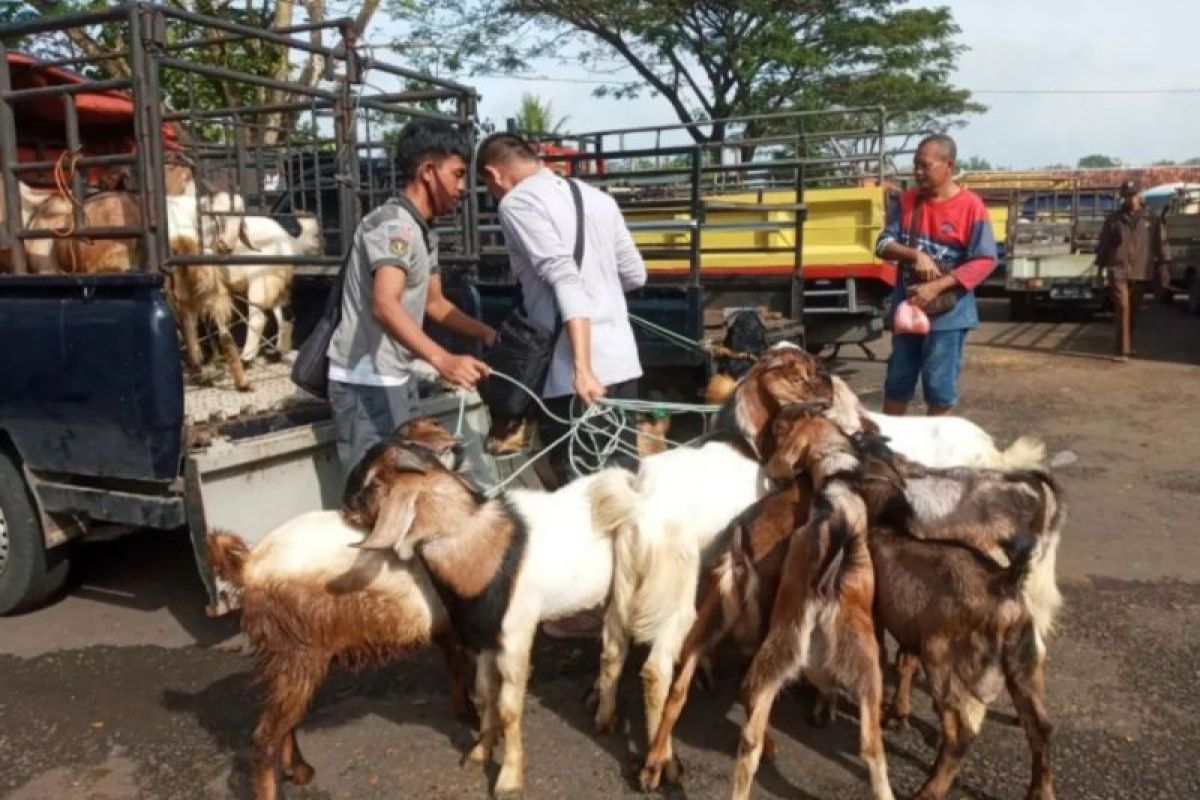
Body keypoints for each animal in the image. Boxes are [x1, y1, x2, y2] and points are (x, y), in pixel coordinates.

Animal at [345, 422, 633, 796]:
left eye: (374, 483)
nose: (345, 505)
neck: (487, 551)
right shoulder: (482, 639)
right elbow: (484, 694)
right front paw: (481, 749)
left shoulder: (514, 638)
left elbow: (509, 707)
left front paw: (509, 778)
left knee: (614, 652)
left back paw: (604, 718)